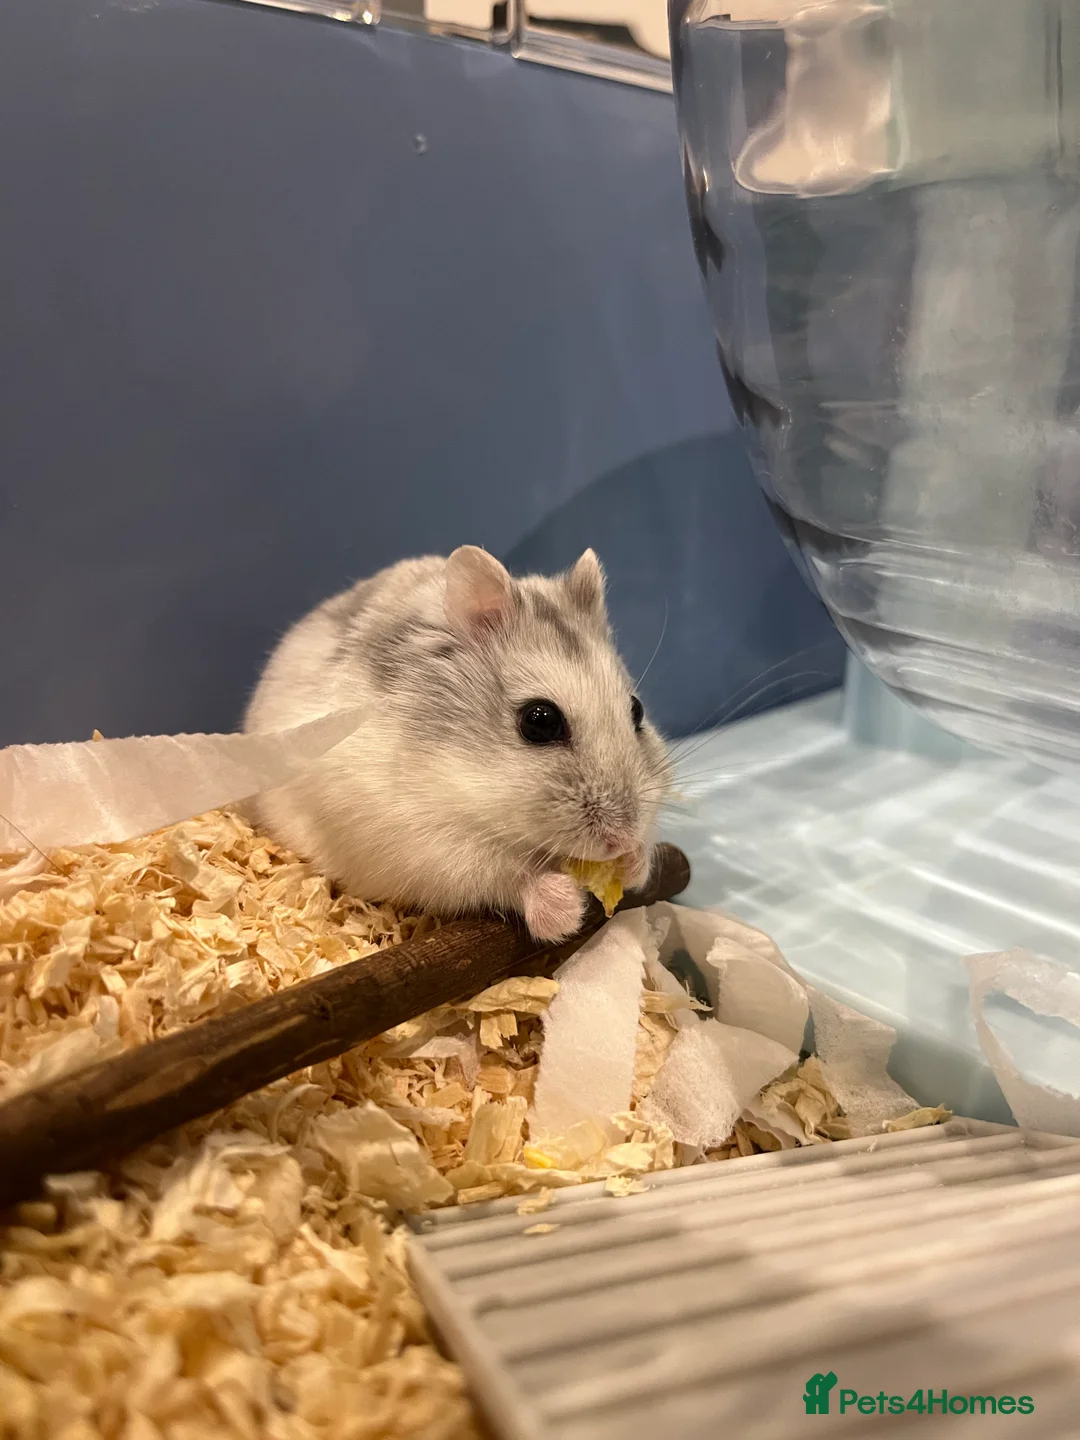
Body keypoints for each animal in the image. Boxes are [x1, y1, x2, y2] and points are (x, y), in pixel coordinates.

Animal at [243, 546, 673, 943]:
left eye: (636, 709)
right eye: (540, 721)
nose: (620, 840)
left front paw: (633, 862)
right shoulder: (420, 843)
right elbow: (503, 873)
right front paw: (566, 912)